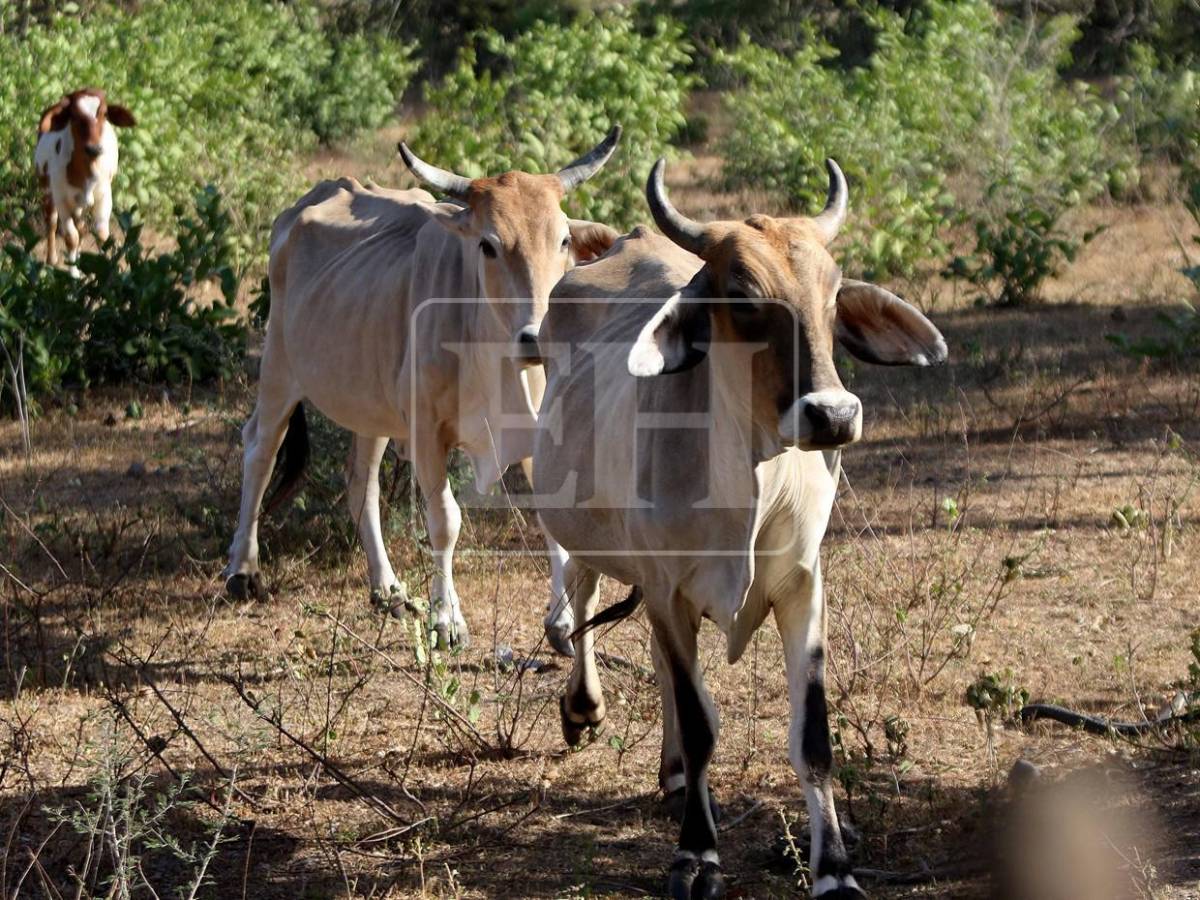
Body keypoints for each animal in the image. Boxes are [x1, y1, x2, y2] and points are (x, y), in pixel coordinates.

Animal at [34, 88, 136, 267]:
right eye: (74, 115)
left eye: (104, 114)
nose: (94, 148)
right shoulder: (61, 199)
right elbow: (70, 238)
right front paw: (73, 271)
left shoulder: (104, 196)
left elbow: (102, 236)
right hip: (47, 189)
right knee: (52, 222)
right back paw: (52, 259)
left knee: (81, 228)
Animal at [223, 128, 622, 654]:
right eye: (488, 245)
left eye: (562, 240)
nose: (536, 336)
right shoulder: (429, 433)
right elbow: (445, 521)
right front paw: (447, 619)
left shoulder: (540, 428)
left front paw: (560, 621)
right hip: (279, 369)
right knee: (259, 449)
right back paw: (242, 570)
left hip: (369, 407)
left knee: (361, 482)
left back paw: (388, 589)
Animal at [533, 158, 948, 898]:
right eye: (744, 295)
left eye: (832, 293)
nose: (832, 415)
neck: (751, 489)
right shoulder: (669, 590)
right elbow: (703, 726)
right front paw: (696, 855)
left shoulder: (803, 589)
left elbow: (812, 740)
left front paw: (834, 869)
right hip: (587, 527)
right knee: (581, 596)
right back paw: (583, 706)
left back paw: (672, 775)